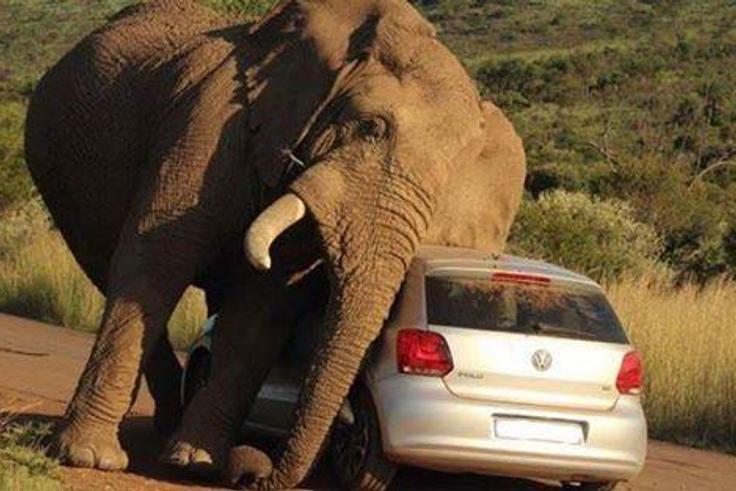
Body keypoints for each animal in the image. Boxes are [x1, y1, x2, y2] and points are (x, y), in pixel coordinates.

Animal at [24, 0, 526, 488]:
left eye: (450, 177)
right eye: (370, 127)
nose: (253, 472)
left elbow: (262, 308)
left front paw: (197, 462)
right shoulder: (211, 126)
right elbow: (156, 260)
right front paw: (89, 457)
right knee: (108, 267)